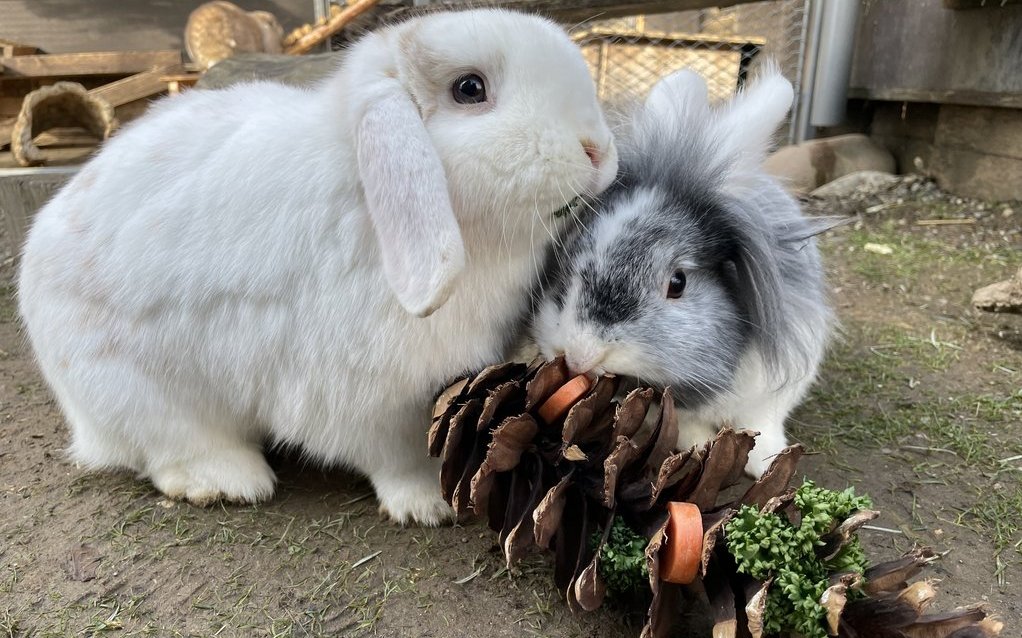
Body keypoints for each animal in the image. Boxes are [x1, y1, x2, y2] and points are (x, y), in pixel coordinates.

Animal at [531, 68, 833, 478]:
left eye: (678, 283)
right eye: (569, 260)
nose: (579, 356)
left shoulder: (775, 390)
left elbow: (765, 422)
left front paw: (765, 461)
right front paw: (701, 446)